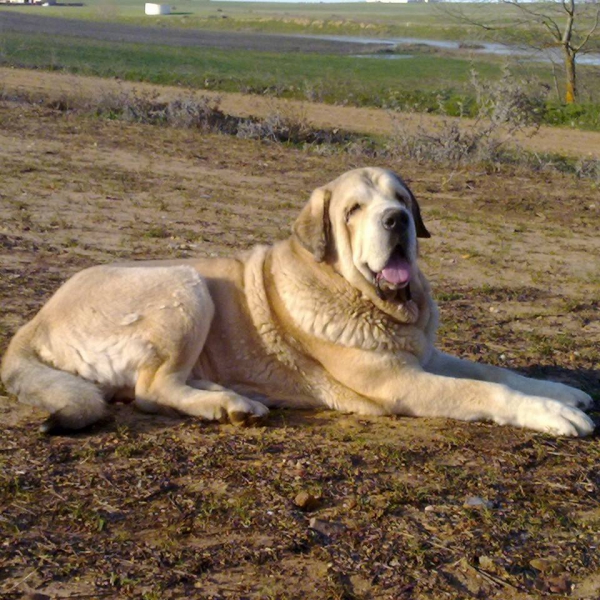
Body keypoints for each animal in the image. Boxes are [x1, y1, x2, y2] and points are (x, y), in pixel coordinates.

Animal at [2, 168, 596, 436]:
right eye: (354, 210)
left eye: (401, 199)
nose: (396, 221)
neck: (374, 303)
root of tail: (34, 322)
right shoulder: (400, 382)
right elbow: (486, 391)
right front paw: (549, 413)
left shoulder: (427, 355)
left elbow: (497, 372)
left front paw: (559, 392)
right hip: (185, 285)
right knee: (152, 390)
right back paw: (228, 405)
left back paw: (228, 392)